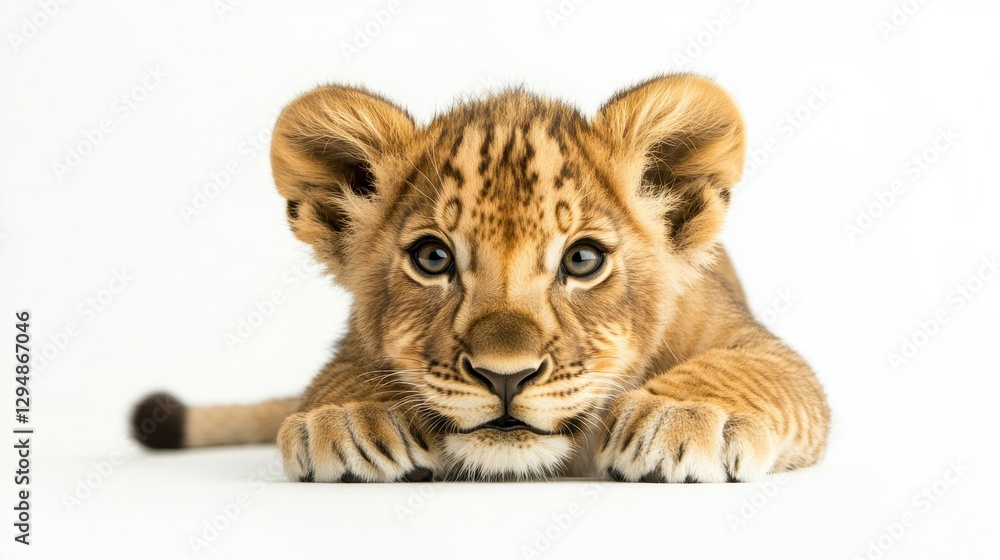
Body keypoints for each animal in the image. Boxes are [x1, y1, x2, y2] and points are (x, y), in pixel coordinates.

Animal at [132, 74, 830, 483]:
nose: (506, 376)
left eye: (582, 261)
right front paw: (353, 418)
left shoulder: (753, 340)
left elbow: (750, 370)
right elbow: (341, 374)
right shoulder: (354, 344)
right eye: (433, 259)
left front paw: (684, 415)